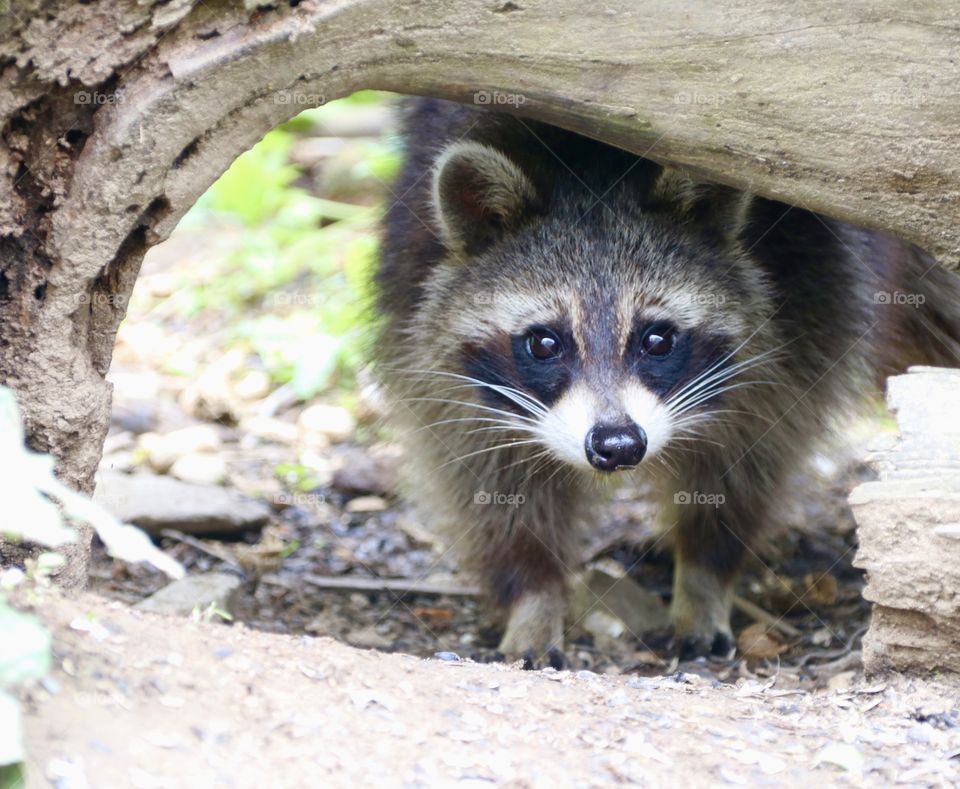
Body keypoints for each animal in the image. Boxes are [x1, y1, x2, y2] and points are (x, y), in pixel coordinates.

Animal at [374, 101, 960, 660]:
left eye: (657, 340)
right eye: (544, 343)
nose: (617, 445)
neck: (590, 172)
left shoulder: (810, 294)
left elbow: (753, 455)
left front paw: (703, 574)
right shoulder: (418, 300)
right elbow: (484, 477)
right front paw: (532, 594)